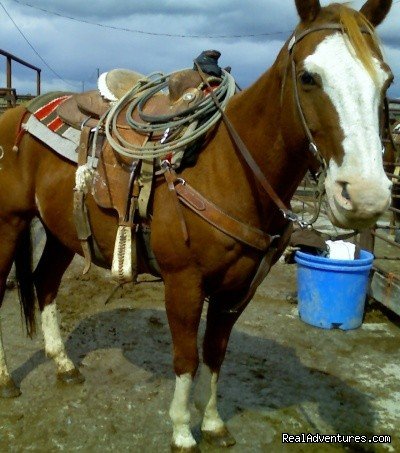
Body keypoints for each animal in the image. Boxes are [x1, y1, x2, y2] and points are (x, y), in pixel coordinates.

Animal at [0, 0, 394, 448]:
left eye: (386, 79)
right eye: (308, 77)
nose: (365, 195)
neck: (227, 168)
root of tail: (22, 110)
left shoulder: (236, 291)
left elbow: (216, 353)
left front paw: (213, 424)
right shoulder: (184, 283)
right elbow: (186, 358)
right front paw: (182, 433)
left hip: (60, 233)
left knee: (46, 283)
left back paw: (65, 365)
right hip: (9, 223)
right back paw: (7, 380)